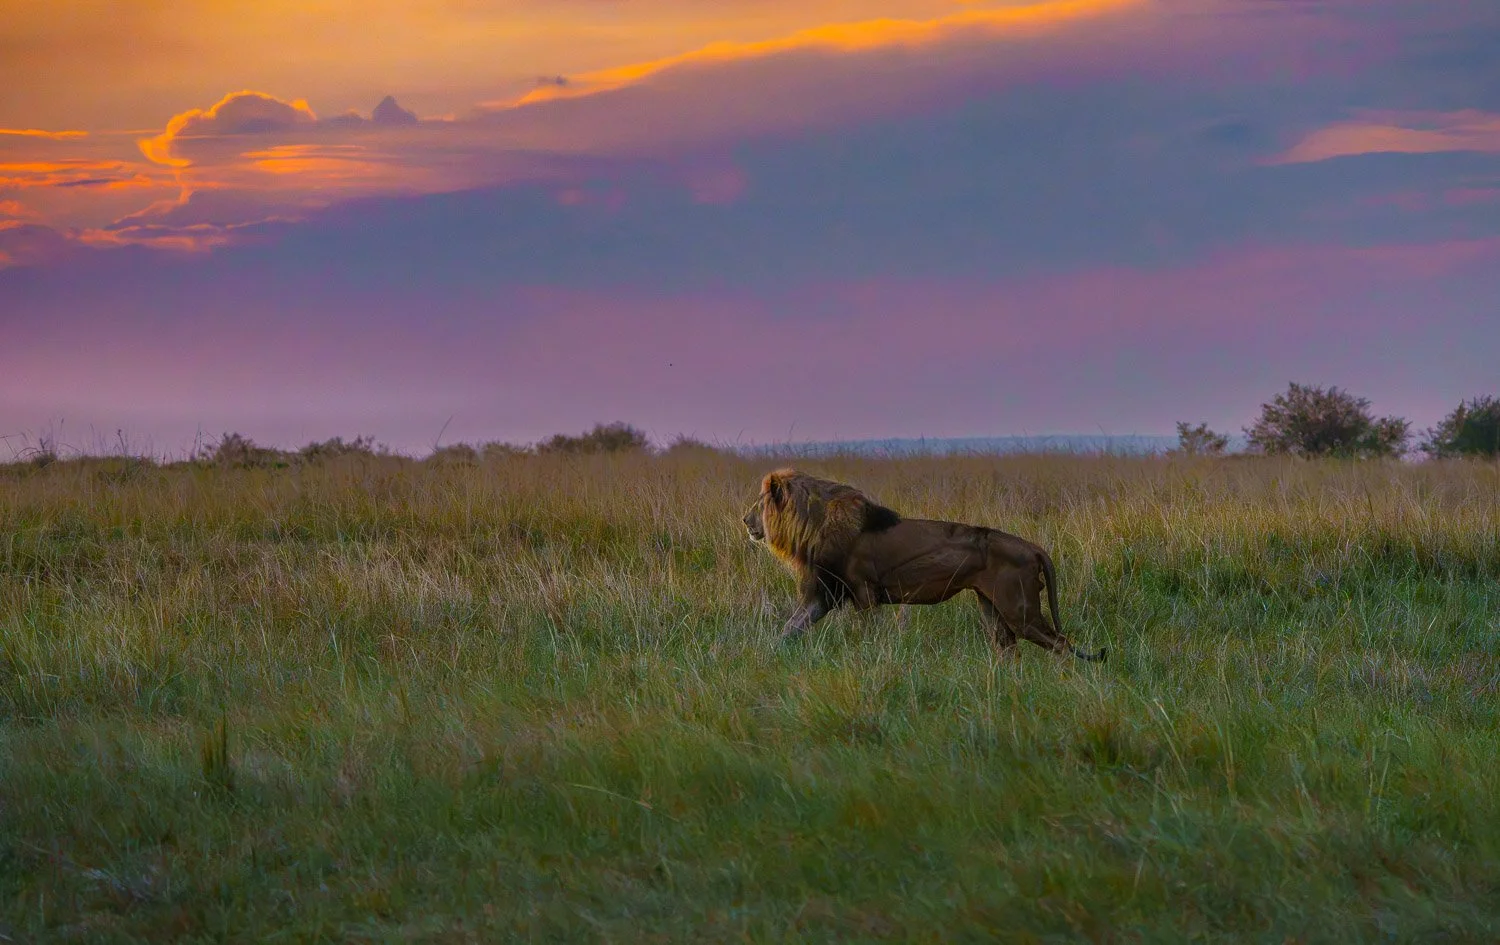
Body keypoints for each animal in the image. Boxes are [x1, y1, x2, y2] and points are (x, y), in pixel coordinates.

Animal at [742, 467, 1105, 661]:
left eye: (759, 504)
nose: (745, 521)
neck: (810, 526)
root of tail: (1032, 546)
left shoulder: (863, 591)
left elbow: (869, 631)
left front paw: (871, 653)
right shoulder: (826, 592)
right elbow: (791, 627)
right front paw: (769, 653)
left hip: (1020, 609)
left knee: (1061, 644)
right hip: (992, 609)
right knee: (1010, 650)